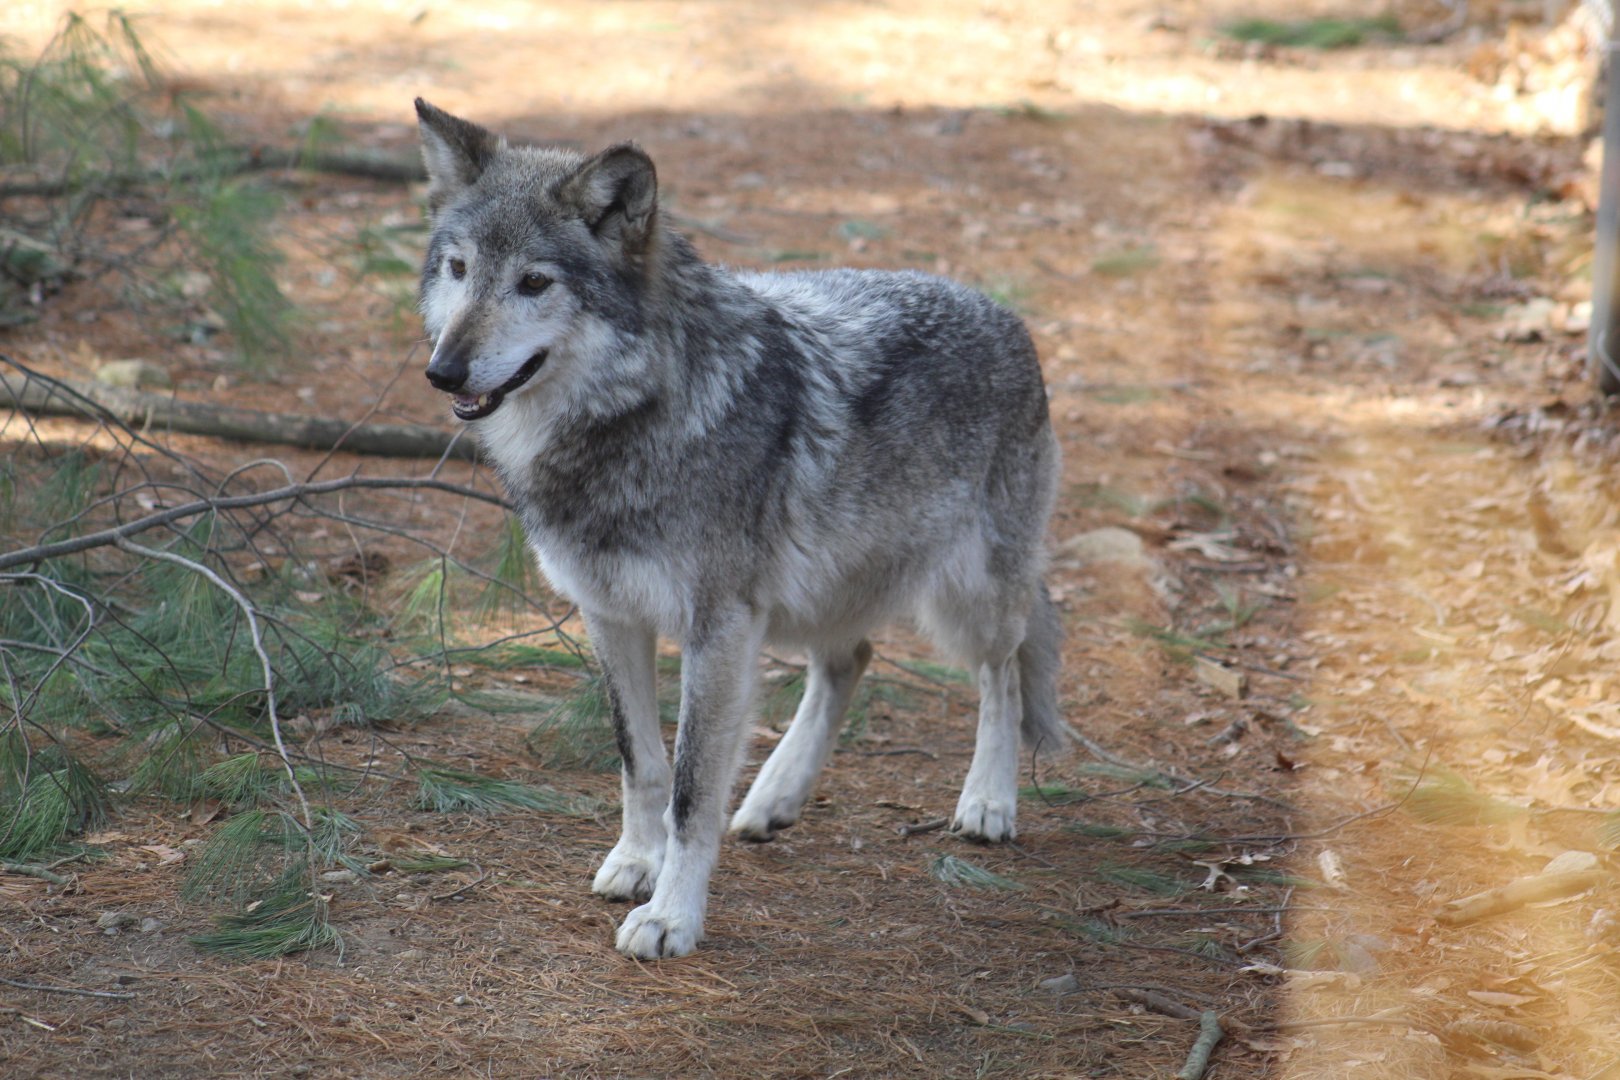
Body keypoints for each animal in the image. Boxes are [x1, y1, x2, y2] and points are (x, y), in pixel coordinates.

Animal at [414, 99, 1068, 959]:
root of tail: (1008, 315)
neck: (639, 417)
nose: (443, 372)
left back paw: (989, 802)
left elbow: (692, 791)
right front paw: (637, 861)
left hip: (967, 594)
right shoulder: (610, 615)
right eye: (458, 270)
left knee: (1005, 670)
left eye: (533, 282)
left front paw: (670, 916)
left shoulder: (716, 628)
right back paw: (772, 798)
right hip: (818, 594)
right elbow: (641, 763)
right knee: (851, 660)